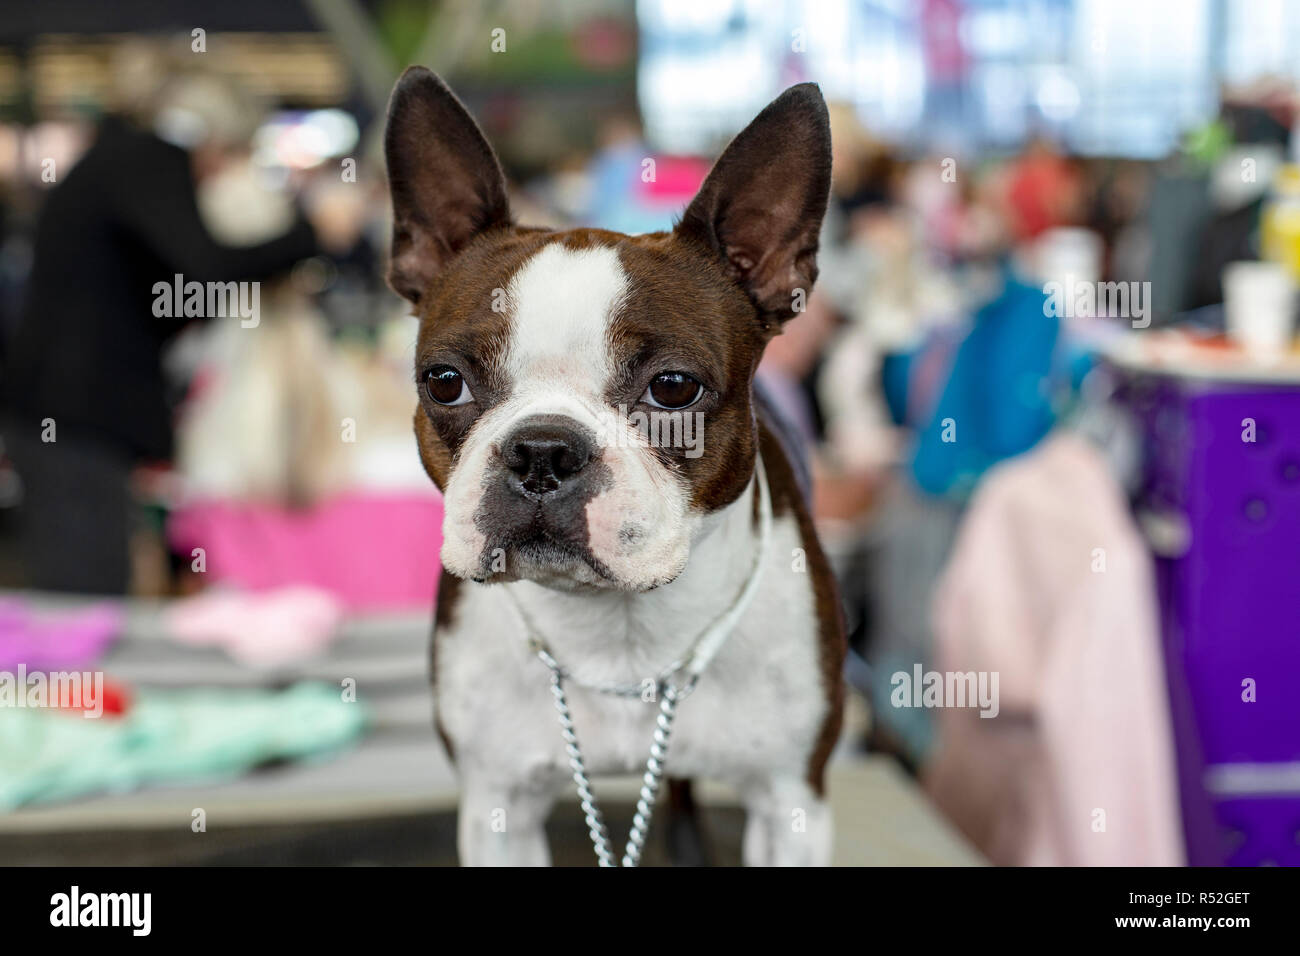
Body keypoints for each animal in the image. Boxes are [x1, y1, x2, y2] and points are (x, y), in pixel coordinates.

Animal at [382, 67, 852, 868]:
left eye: (674, 388)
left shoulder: (792, 802)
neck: (618, 632)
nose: (542, 450)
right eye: (444, 382)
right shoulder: (499, 806)